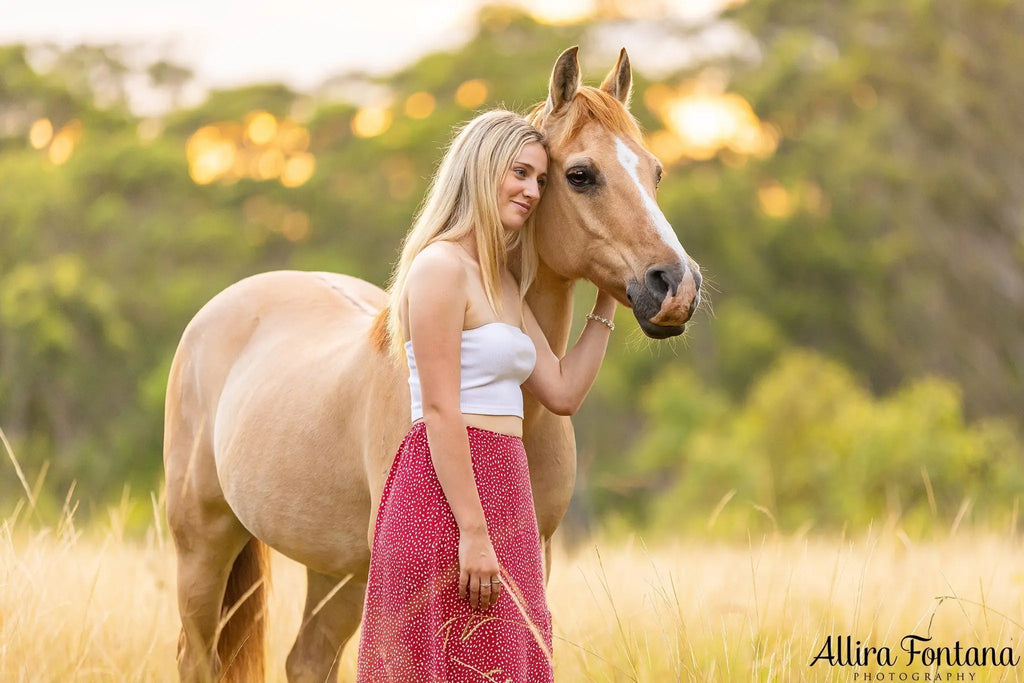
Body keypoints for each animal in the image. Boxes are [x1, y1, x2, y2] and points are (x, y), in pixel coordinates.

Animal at [163, 46, 701, 682]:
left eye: (655, 172)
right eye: (579, 175)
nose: (676, 285)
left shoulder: (537, 560)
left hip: (335, 568)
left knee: (308, 658)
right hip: (204, 545)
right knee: (198, 656)